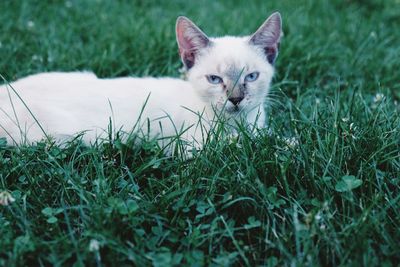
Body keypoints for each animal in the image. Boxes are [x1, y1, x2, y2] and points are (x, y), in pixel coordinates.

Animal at [0, 11, 282, 151]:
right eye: (214, 79)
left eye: (251, 76)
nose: (236, 99)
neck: (239, 124)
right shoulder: (192, 148)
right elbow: (248, 145)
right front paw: (283, 145)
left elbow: (262, 138)